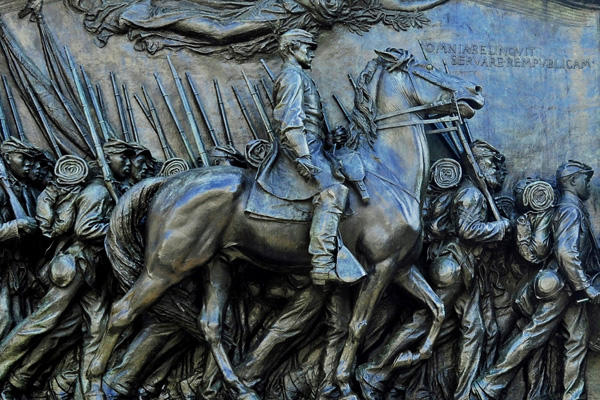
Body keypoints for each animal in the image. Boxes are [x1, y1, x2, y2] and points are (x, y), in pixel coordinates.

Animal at [89, 47, 482, 400]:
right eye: (428, 68)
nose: (475, 90)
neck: (387, 173)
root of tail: (168, 185)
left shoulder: (401, 268)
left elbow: (436, 308)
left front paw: (410, 357)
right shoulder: (381, 269)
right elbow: (358, 327)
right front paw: (347, 382)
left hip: (217, 265)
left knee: (210, 325)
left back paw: (240, 388)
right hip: (166, 267)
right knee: (121, 313)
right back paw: (95, 382)